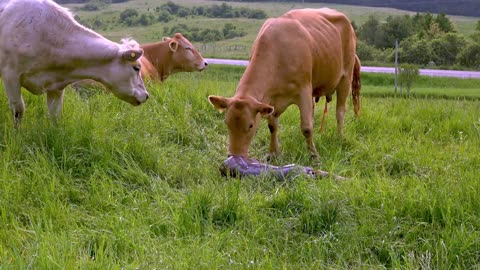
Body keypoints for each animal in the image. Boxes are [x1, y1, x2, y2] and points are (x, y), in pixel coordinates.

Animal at [0, 0, 149, 125]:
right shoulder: (11, 76)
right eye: (136, 68)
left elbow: (55, 114)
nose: (147, 95)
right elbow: (18, 110)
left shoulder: (56, 86)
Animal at [208, 8, 362, 159]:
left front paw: (314, 156)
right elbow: (273, 126)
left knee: (340, 112)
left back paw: (340, 138)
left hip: (345, 78)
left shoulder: (304, 90)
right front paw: (273, 153)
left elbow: (307, 128)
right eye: (227, 123)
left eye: (251, 126)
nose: (234, 156)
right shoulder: (270, 100)